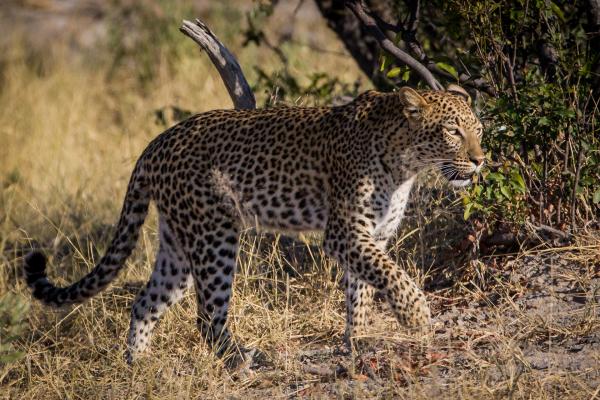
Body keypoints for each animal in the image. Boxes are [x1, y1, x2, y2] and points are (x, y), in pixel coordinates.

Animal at [23, 83, 486, 362]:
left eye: (478, 129)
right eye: (452, 131)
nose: (481, 160)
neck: (405, 163)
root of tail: (156, 142)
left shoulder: (374, 234)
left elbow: (364, 289)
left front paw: (357, 340)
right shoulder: (345, 233)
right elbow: (392, 276)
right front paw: (416, 316)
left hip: (177, 243)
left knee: (146, 301)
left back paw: (138, 366)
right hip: (214, 236)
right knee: (207, 317)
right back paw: (241, 361)